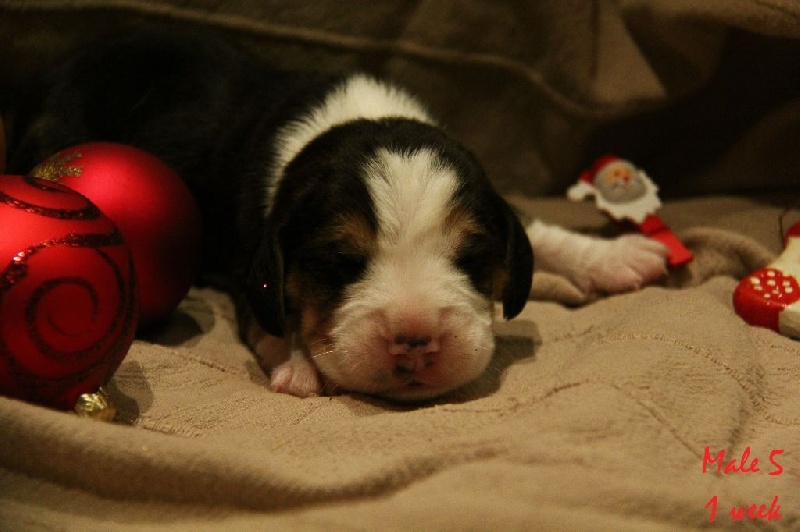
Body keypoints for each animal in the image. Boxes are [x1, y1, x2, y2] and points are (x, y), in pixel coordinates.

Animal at [3, 32, 668, 401]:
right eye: (340, 261)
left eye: (473, 258)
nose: (415, 341)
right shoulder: (251, 257)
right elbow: (271, 315)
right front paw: (300, 365)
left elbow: (532, 225)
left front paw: (616, 256)